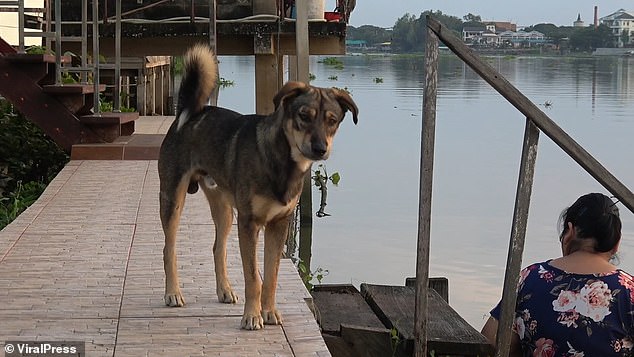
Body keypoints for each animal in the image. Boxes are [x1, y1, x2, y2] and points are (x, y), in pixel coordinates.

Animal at [158, 43, 356, 330]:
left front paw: (269, 311)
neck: (283, 162)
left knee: (218, 248)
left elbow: (270, 276)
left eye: (332, 120)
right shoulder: (249, 223)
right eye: (303, 116)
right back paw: (173, 293)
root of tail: (192, 112)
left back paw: (225, 290)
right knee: (168, 249)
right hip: (173, 198)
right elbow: (253, 276)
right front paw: (252, 316)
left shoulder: (279, 224)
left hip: (225, 210)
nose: (320, 149)